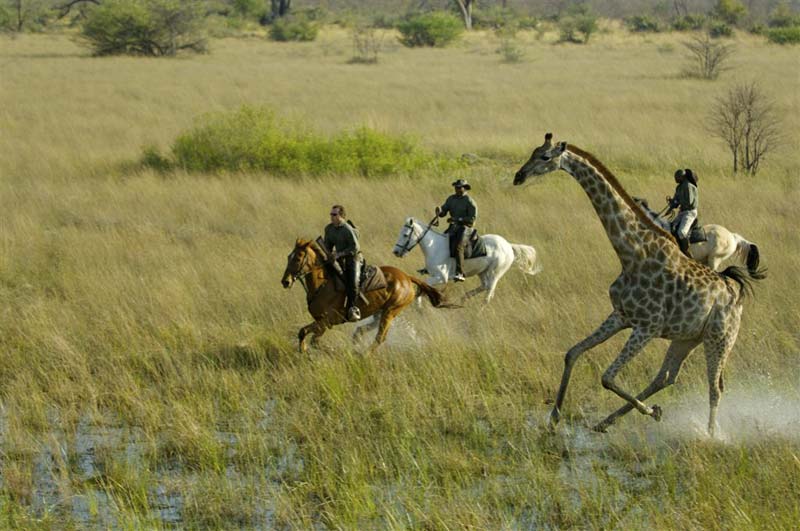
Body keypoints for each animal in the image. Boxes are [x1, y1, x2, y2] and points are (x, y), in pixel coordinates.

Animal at [280, 238, 444, 354]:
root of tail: (407, 278)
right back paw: (357, 341)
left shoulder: (326, 321)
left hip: (391, 311)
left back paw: (363, 354)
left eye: (298, 258)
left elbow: (312, 338)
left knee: (380, 337)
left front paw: (330, 351)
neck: (322, 285)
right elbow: (305, 334)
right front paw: (304, 349)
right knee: (366, 330)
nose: (285, 281)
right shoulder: (322, 323)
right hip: (381, 311)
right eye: (288, 257)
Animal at [390, 215, 540, 300]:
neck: (434, 247)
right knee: (484, 286)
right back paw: (464, 298)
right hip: (482, 272)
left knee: (489, 294)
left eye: (405, 235)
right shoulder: (434, 276)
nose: (396, 252)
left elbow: (424, 287)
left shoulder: (440, 278)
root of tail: (508, 245)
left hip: (495, 274)